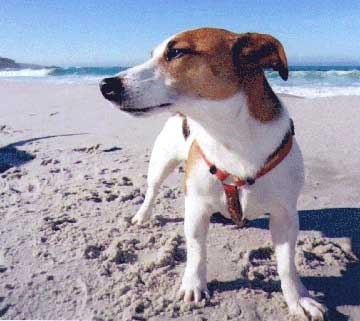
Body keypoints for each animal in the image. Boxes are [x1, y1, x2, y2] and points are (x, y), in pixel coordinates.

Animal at [100, 28, 328, 320]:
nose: (105, 84)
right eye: (153, 54)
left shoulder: (285, 216)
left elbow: (287, 264)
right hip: (161, 163)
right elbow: (197, 251)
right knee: (152, 190)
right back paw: (143, 215)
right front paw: (194, 284)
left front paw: (298, 298)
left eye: (176, 52)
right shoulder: (196, 207)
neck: (230, 136)